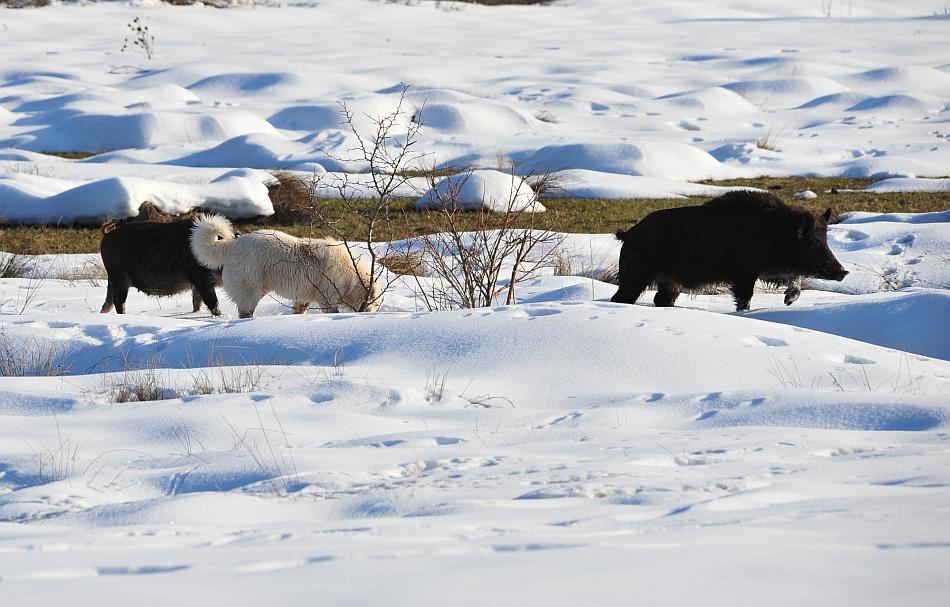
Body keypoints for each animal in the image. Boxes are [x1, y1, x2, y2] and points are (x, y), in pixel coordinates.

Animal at [190, 215, 384, 318]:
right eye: (375, 302)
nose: (371, 312)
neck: (352, 275)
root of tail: (233, 244)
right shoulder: (327, 295)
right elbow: (331, 310)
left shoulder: (304, 297)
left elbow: (299, 309)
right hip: (250, 286)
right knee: (245, 310)